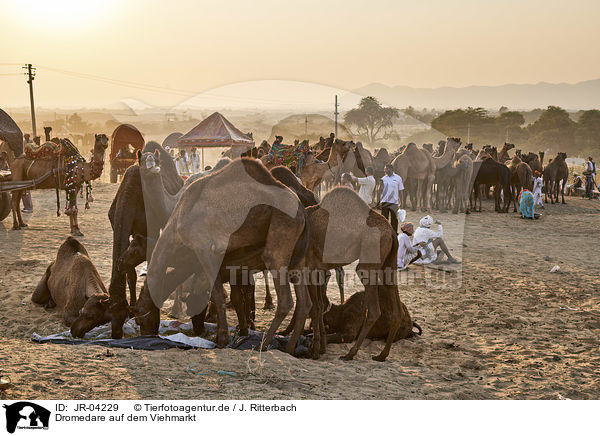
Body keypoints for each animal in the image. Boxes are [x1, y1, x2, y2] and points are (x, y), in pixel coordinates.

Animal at [131, 158, 310, 356]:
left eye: (139, 315)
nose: (147, 335)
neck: (177, 220)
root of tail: (302, 210)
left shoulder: (203, 246)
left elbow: (217, 294)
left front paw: (222, 339)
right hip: (297, 256)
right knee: (305, 302)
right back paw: (290, 348)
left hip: (282, 229)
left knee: (285, 298)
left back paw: (262, 346)